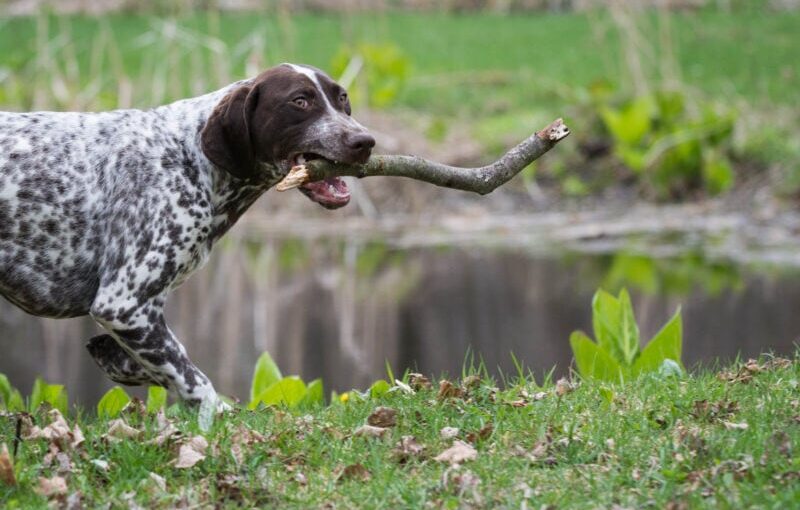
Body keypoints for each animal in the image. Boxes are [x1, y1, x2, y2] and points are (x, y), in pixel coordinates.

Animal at [0, 63, 376, 406]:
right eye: (300, 101)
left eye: (342, 98)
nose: (365, 141)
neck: (190, 158)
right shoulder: (124, 304)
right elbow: (197, 383)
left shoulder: (141, 315)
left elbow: (154, 362)